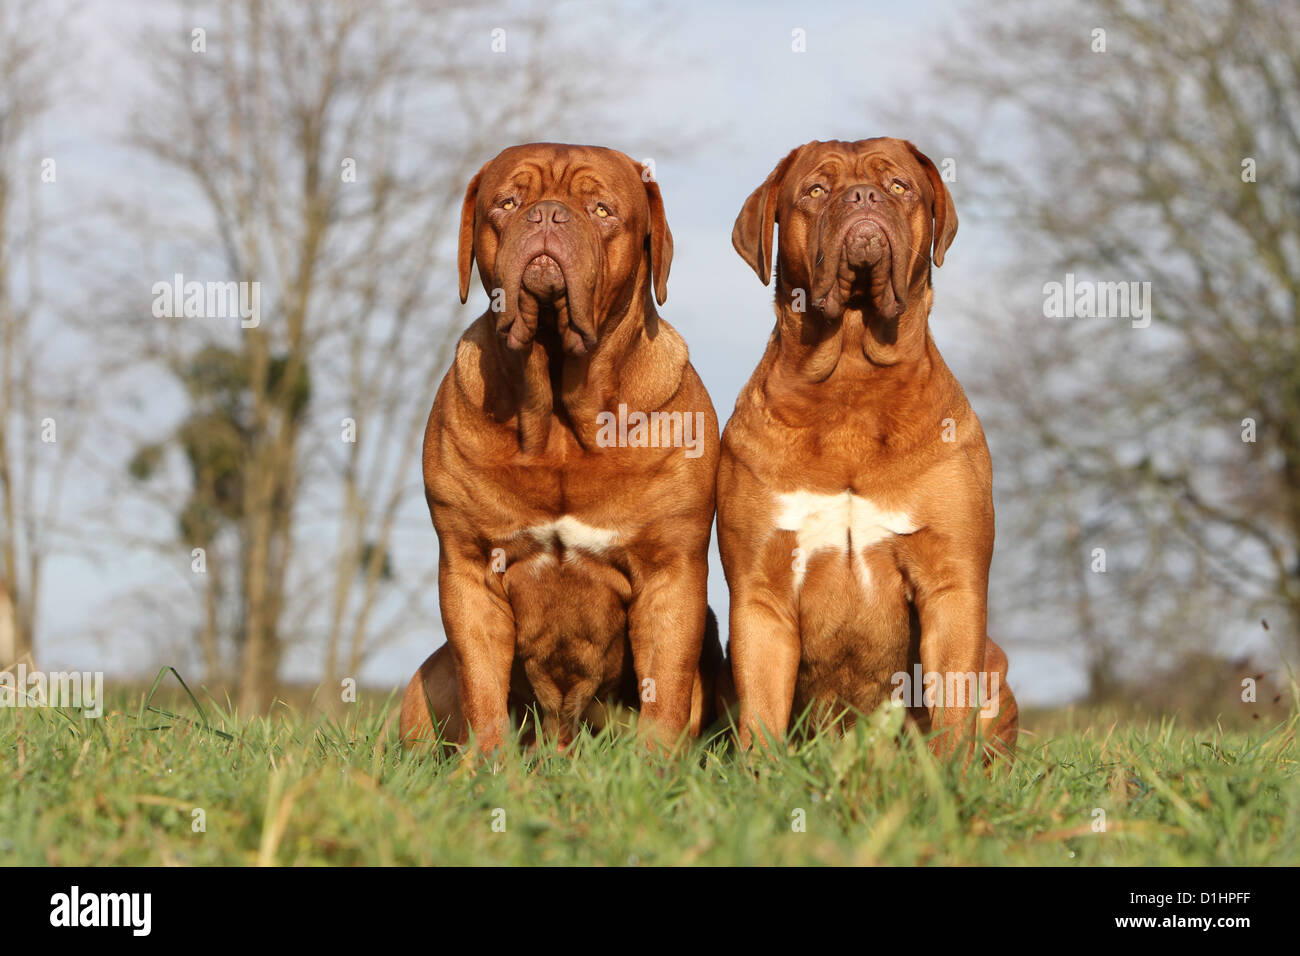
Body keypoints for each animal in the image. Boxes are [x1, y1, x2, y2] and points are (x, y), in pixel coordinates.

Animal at [397, 141, 722, 754]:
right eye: (507, 203)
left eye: (601, 209)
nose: (547, 215)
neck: (560, 421)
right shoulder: (470, 569)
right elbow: (482, 686)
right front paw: (487, 765)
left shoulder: (671, 572)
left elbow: (665, 689)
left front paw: (655, 767)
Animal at [717, 136, 1019, 764]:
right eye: (815, 189)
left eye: (899, 185)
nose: (862, 197)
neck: (852, 380)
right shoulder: (760, 591)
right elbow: (761, 709)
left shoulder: (951, 582)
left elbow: (952, 701)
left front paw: (950, 773)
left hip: (997, 668)